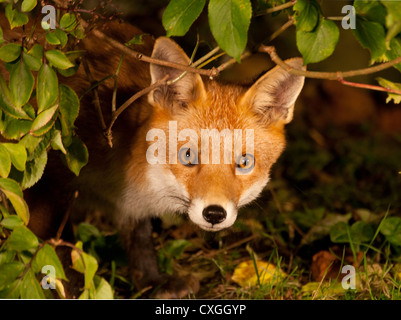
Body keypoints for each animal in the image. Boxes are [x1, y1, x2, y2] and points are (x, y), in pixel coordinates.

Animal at [1, 16, 304, 298]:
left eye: (244, 163)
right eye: (188, 155)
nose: (214, 214)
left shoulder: (127, 204)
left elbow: (140, 238)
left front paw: (152, 282)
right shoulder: (43, 185)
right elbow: (58, 257)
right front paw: (78, 290)